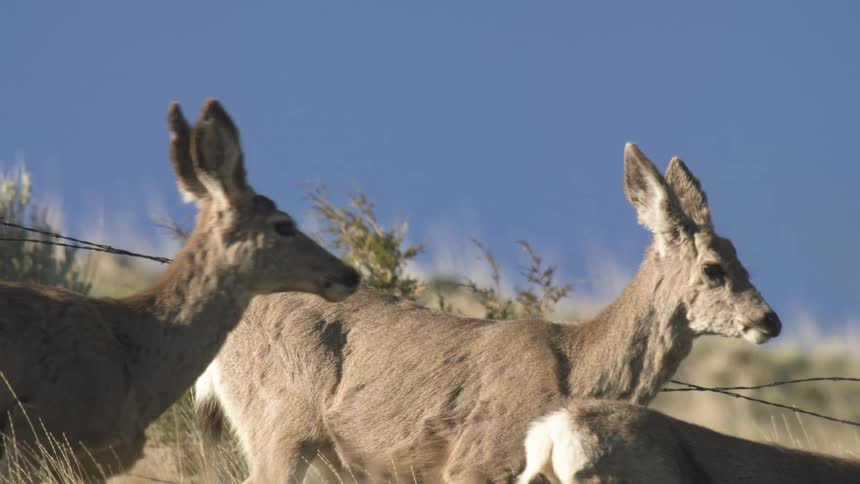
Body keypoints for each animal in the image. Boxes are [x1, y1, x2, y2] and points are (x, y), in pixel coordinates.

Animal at [195, 143, 782, 483]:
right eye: (713, 268)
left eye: (743, 258)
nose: (769, 321)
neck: (576, 367)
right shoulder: (475, 458)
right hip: (280, 419)